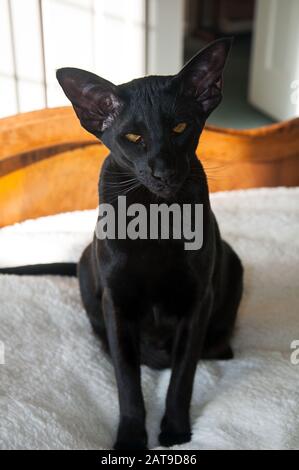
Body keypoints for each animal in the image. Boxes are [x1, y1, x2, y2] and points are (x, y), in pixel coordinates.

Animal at [0, 38, 244, 450]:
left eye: (180, 127)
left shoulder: (198, 303)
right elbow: (128, 384)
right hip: (88, 263)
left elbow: (182, 378)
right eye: (133, 138)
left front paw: (175, 432)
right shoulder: (117, 305)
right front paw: (131, 437)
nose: (163, 171)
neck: (156, 219)